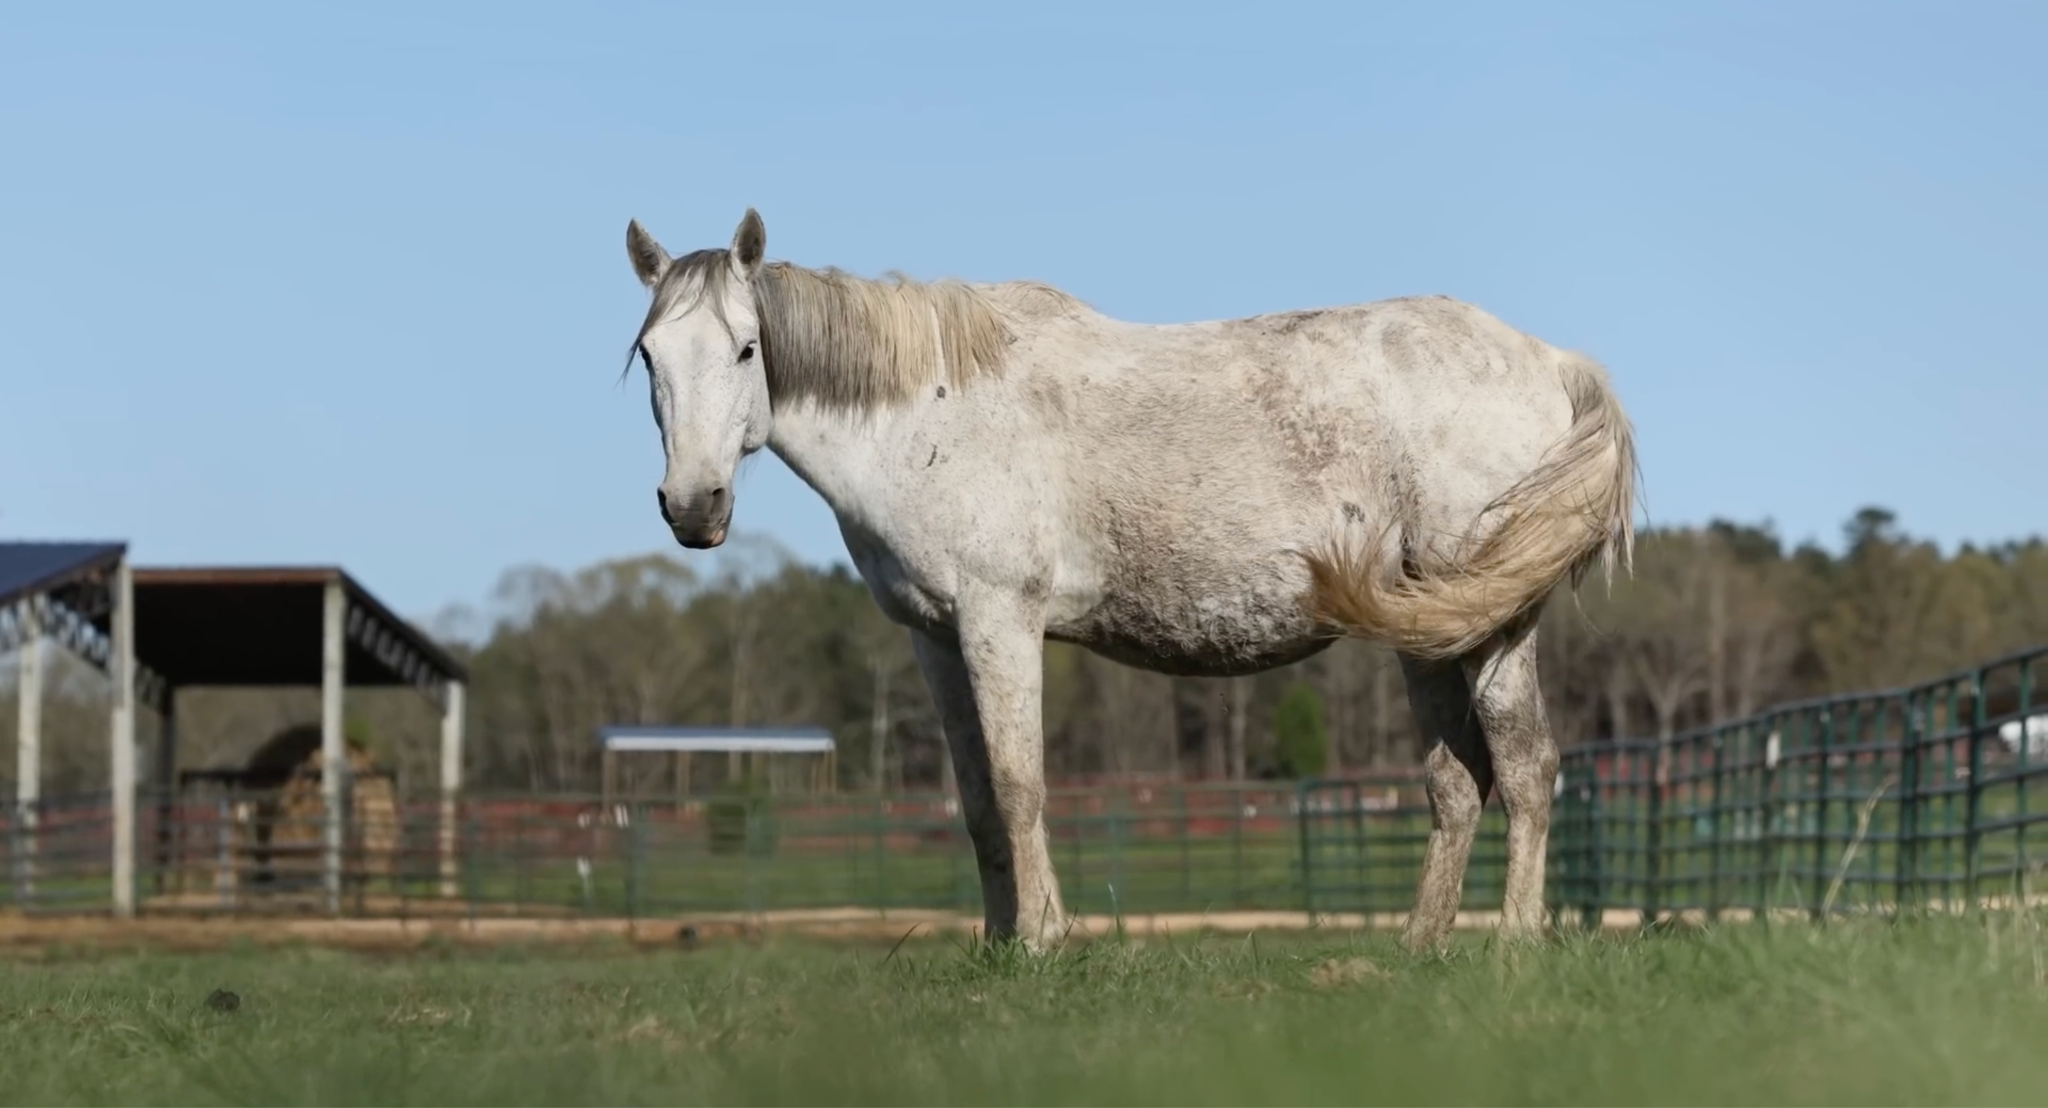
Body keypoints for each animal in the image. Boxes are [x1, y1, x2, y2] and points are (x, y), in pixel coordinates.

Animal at [620, 209, 1638, 952]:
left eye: (747, 349)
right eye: (651, 357)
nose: (694, 506)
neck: (928, 415)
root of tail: (1549, 360)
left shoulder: (999, 620)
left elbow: (1020, 784)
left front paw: (1042, 941)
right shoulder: (935, 637)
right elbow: (977, 798)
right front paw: (997, 947)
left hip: (1496, 627)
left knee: (1528, 768)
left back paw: (1512, 946)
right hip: (1428, 632)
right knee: (1457, 782)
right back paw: (1417, 948)